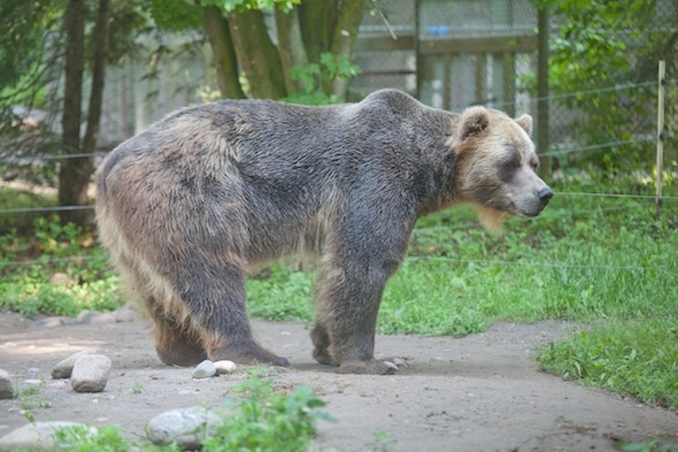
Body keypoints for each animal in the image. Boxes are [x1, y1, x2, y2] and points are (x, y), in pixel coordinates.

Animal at [95, 89, 552, 374]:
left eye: (533, 159)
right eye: (509, 161)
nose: (544, 194)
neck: (426, 172)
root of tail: (110, 160)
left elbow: (335, 276)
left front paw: (324, 345)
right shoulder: (375, 176)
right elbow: (362, 262)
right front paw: (375, 360)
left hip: (127, 231)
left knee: (157, 288)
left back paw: (181, 349)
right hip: (193, 190)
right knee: (210, 270)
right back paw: (256, 353)